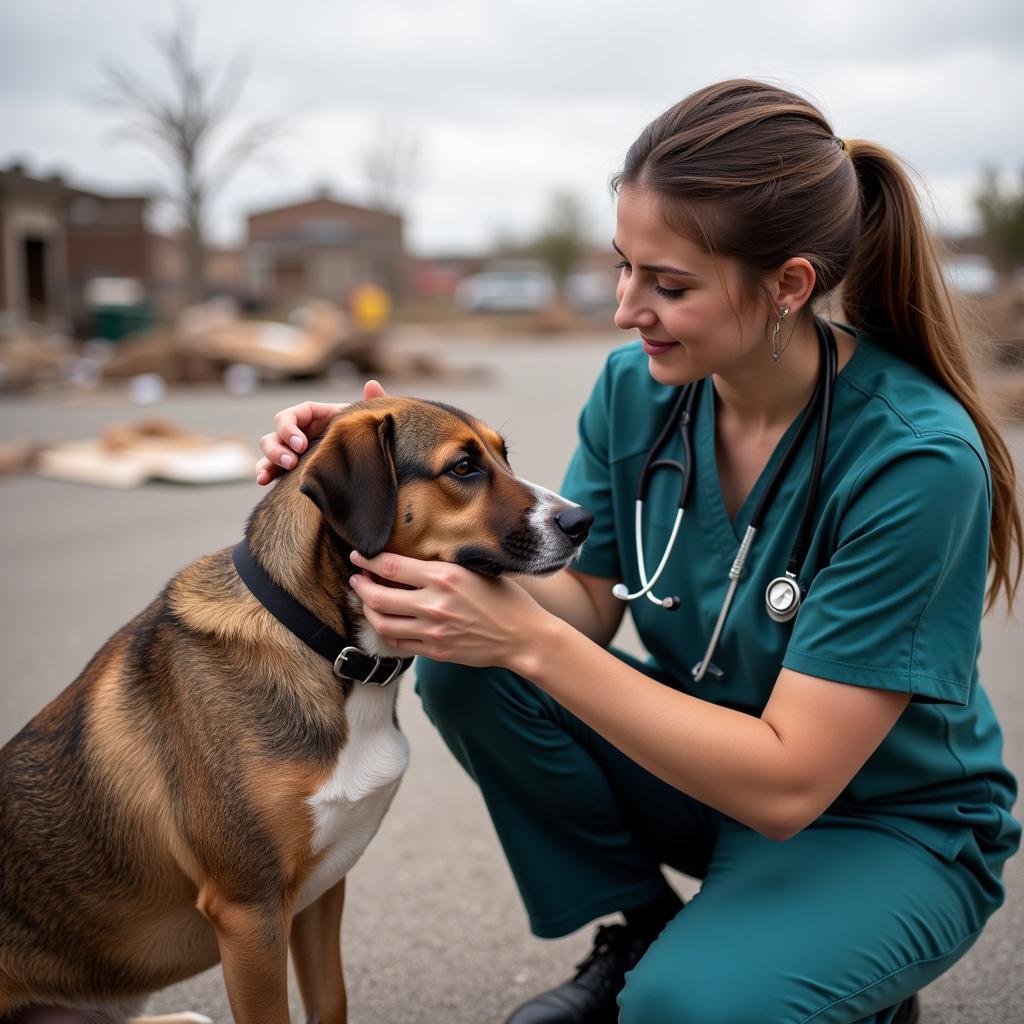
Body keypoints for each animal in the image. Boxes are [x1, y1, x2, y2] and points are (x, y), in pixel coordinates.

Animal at [0, 397, 593, 1024]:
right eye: (462, 467)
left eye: (503, 456)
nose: (582, 521)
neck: (333, 652)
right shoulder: (249, 914)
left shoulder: (321, 890)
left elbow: (330, 1001)